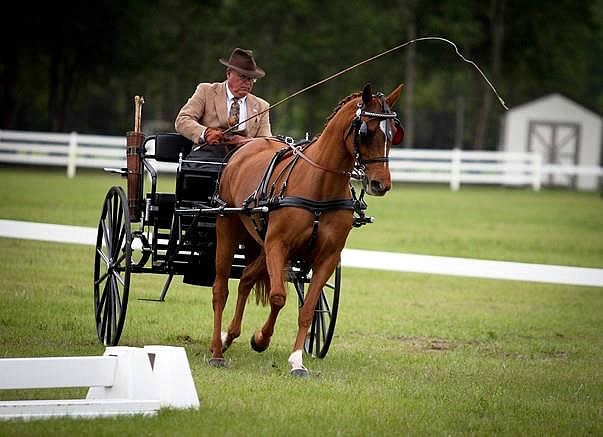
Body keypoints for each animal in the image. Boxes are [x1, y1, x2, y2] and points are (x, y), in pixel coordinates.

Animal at [210, 83, 404, 376]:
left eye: (393, 133)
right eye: (366, 131)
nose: (381, 184)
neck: (320, 187)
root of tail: (247, 145)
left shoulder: (327, 257)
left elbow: (309, 308)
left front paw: (296, 360)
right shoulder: (278, 246)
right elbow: (278, 297)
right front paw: (261, 339)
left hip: (261, 243)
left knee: (245, 279)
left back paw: (229, 335)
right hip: (228, 228)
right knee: (220, 289)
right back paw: (217, 350)